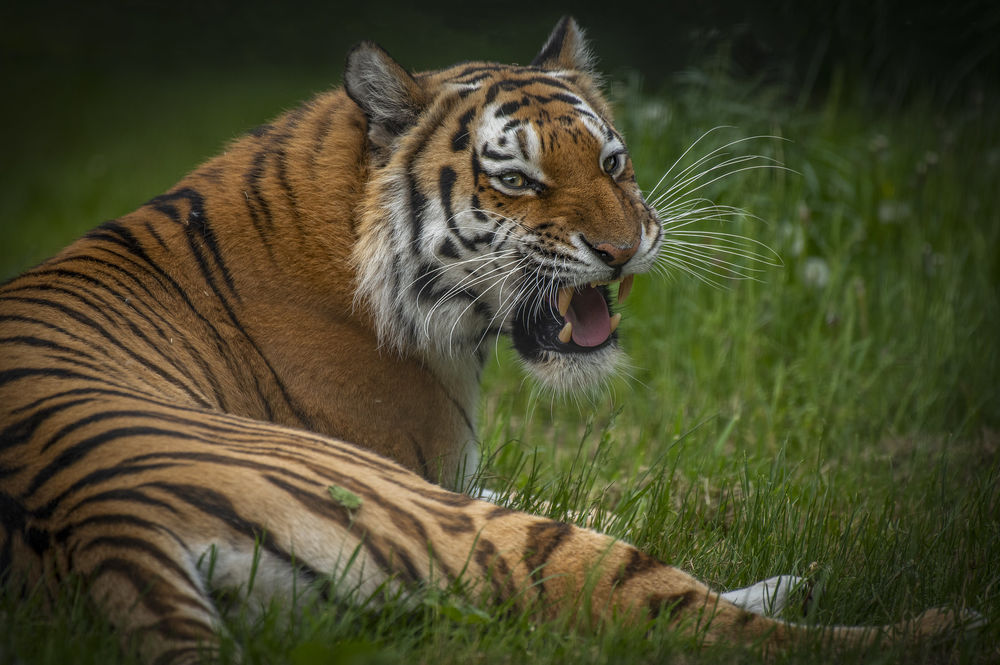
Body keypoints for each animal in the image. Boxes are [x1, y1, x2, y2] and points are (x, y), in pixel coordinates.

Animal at [0, 16, 973, 665]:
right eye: (518, 181)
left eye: (611, 162)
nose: (625, 247)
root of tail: (104, 530)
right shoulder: (432, 475)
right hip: (444, 520)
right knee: (669, 615)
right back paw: (936, 623)